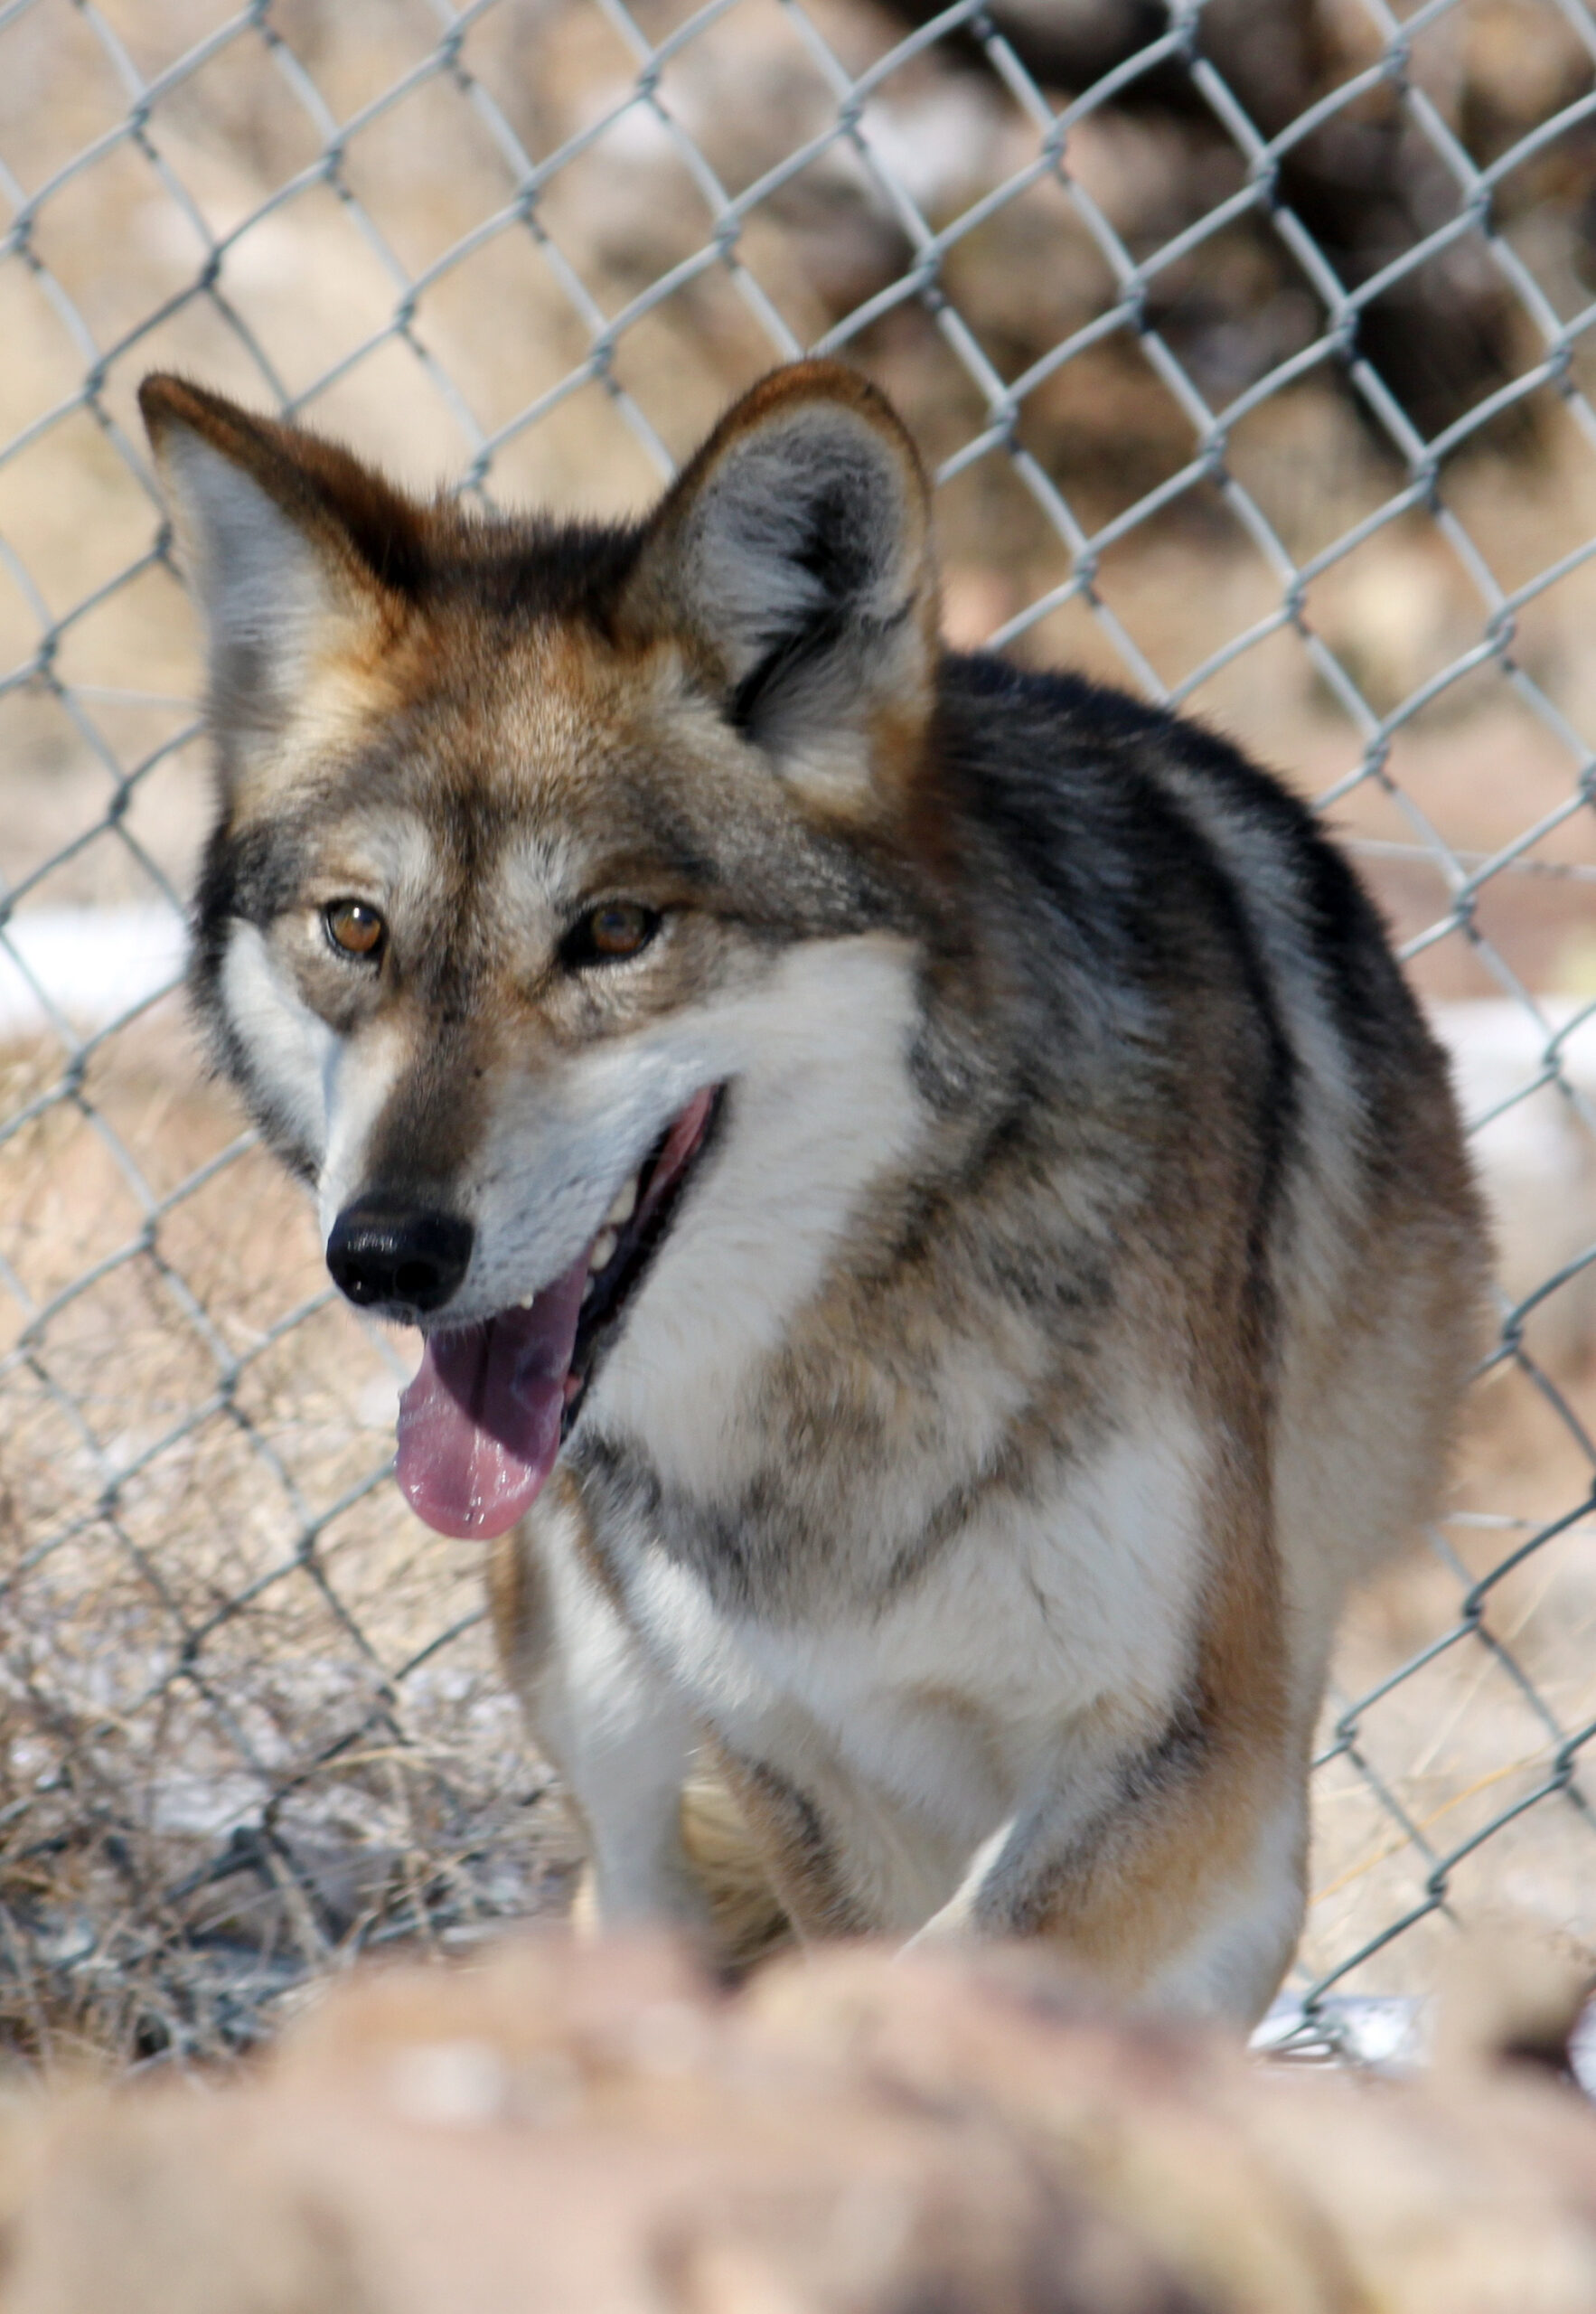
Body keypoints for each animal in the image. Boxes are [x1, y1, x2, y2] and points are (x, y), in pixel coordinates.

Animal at [139, 360, 1487, 2022]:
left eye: (616, 930)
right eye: (354, 927)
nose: (386, 1253)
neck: (844, 1354)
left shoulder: (1191, 1757)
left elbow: (949, 1975)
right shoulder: (802, 1769)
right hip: (599, 1688)